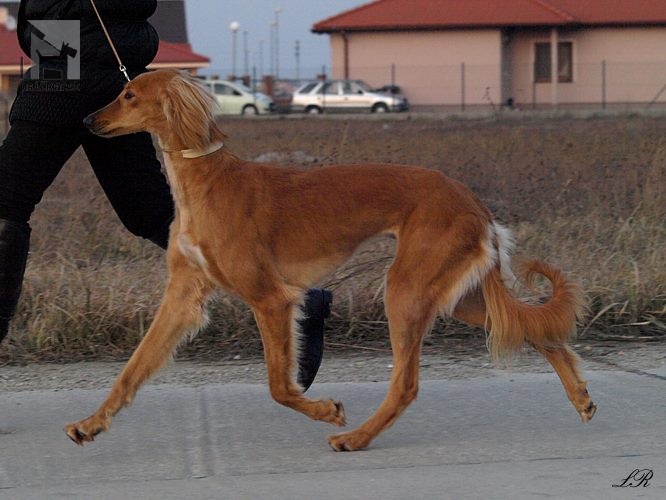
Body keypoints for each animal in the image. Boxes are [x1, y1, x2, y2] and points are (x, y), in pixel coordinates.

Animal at [66, 71, 596, 454]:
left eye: (129, 95)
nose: (87, 120)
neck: (207, 182)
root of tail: (473, 202)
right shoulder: (183, 297)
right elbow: (132, 369)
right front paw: (90, 425)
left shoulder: (270, 298)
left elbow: (279, 387)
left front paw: (328, 411)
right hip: (453, 294)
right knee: (535, 332)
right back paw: (580, 397)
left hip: (407, 288)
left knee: (406, 384)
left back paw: (354, 438)